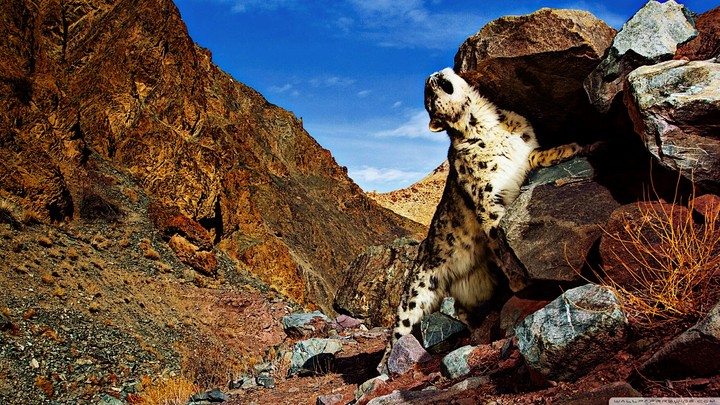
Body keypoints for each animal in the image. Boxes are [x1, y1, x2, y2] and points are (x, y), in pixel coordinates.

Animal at [378, 67, 591, 374]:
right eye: (428, 98)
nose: (430, 77)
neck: (486, 122)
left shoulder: (525, 153)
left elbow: (541, 154)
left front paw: (576, 146)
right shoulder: (486, 198)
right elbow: (498, 238)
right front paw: (520, 282)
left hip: (479, 284)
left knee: (460, 307)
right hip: (416, 293)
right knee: (400, 328)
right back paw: (384, 367)